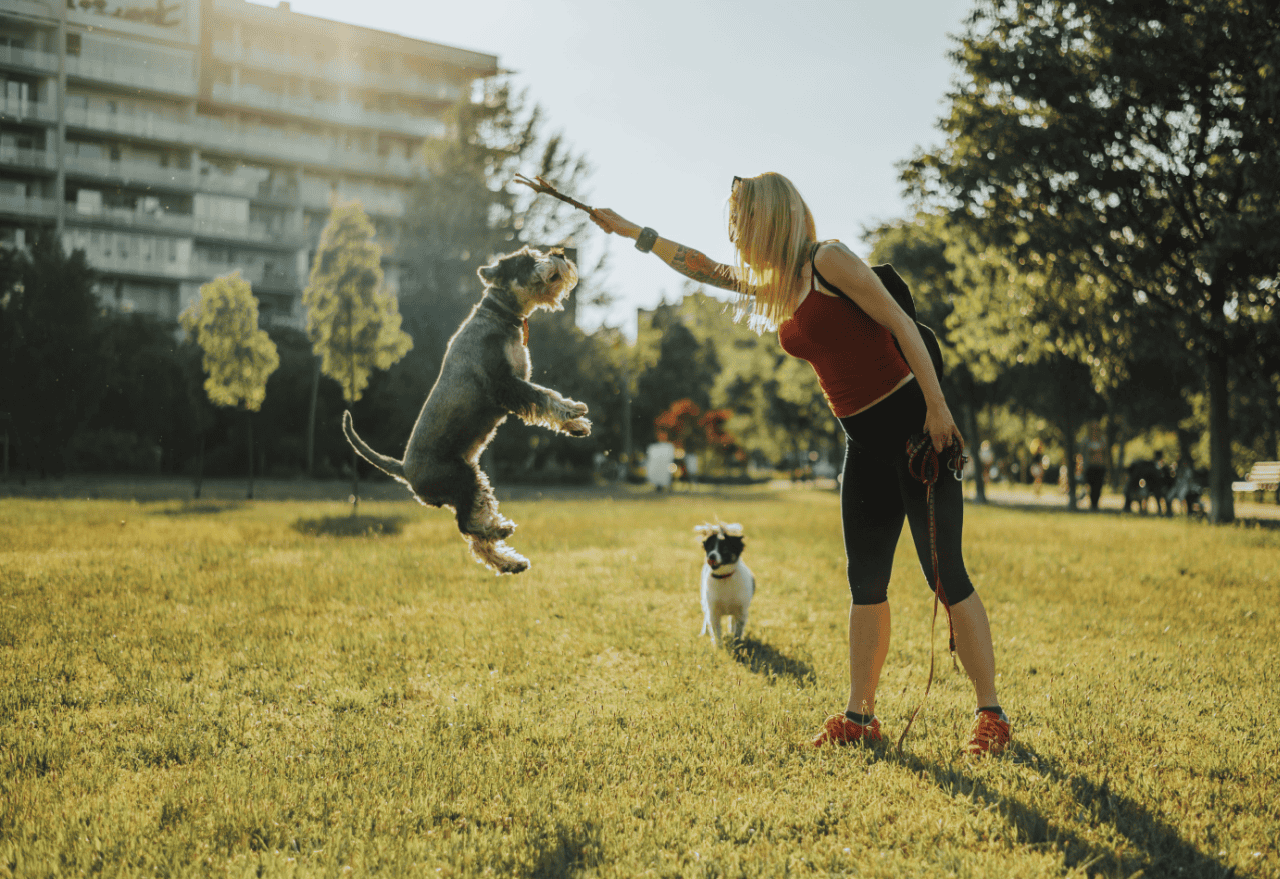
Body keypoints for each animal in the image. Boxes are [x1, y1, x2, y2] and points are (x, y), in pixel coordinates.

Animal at [345, 248, 593, 578]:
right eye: (526, 260)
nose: (559, 253)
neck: (498, 315)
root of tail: (404, 469)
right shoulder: (506, 384)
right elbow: (544, 396)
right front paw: (573, 409)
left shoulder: (514, 385)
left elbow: (544, 400)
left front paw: (576, 426)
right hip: (463, 478)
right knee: (469, 528)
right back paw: (499, 532)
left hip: (472, 484)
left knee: (476, 538)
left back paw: (509, 560)